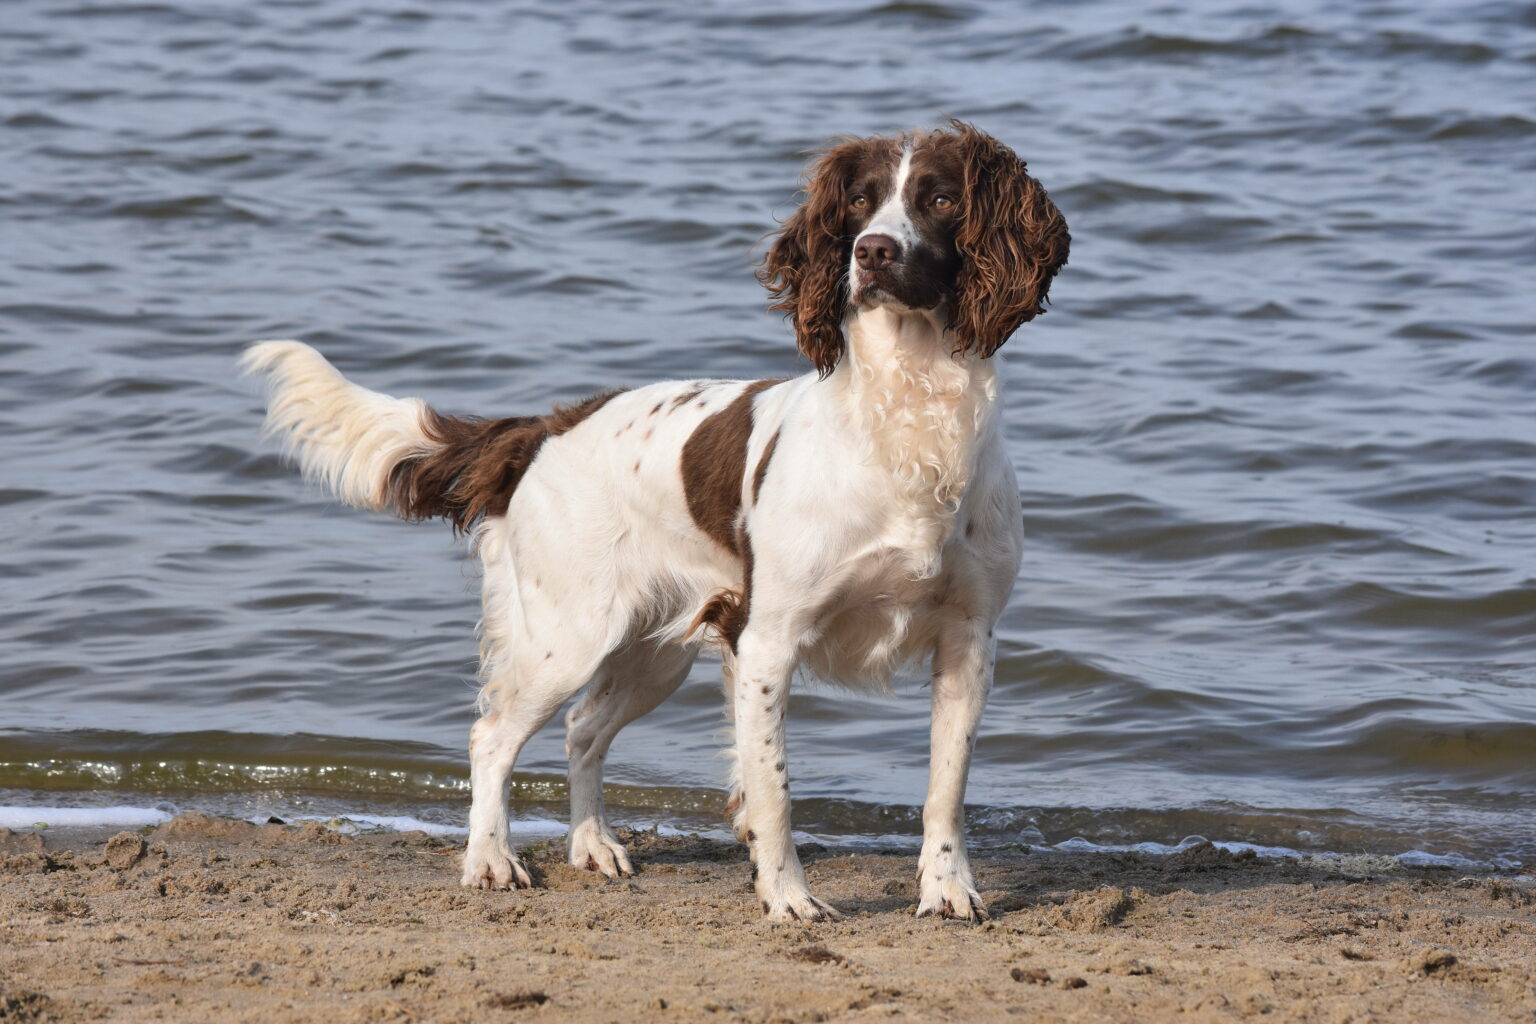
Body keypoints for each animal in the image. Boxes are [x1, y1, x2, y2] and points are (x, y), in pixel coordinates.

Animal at [245, 120, 1075, 921]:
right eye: (860, 203)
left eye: (940, 199)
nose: (872, 253)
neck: (909, 421)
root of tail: (545, 429)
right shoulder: (767, 642)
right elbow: (773, 790)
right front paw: (787, 897)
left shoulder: (968, 640)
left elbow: (946, 790)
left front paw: (948, 890)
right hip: (569, 637)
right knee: (492, 736)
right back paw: (490, 860)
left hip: (652, 651)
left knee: (582, 729)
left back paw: (592, 844)